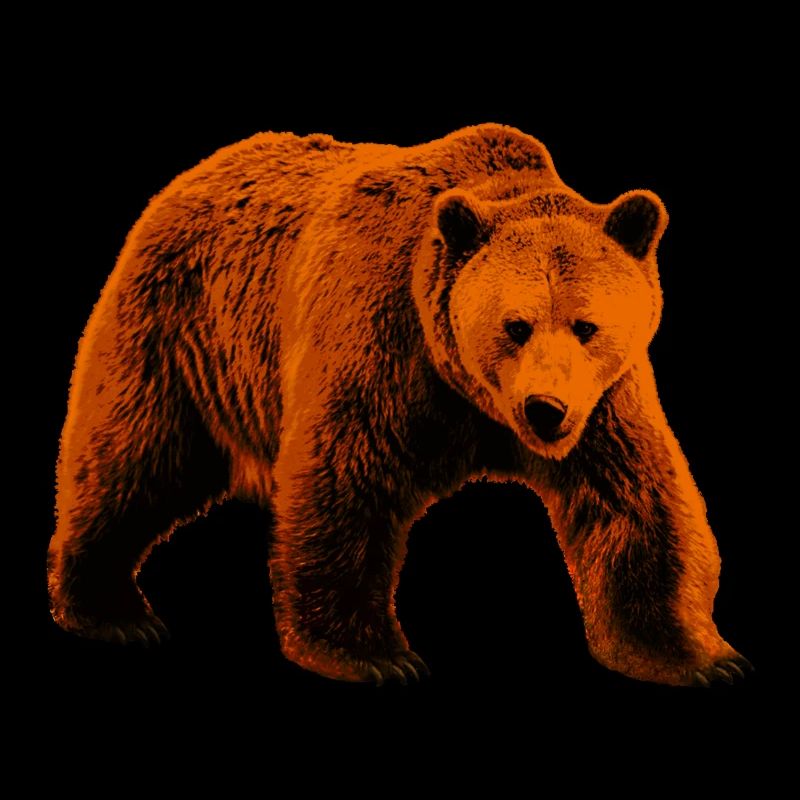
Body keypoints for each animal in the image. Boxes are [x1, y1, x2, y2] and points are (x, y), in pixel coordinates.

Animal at [48, 123, 751, 688]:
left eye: (586, 325)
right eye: (516, 325)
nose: (544, 409)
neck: (472, 396)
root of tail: (194, 173)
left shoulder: (604, 402)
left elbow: (637, 502)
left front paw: (699, 656)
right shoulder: (384, 341)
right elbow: (346, 481)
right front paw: (375, 655)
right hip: (185, 330)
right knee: (134, 454)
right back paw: (111, 610)